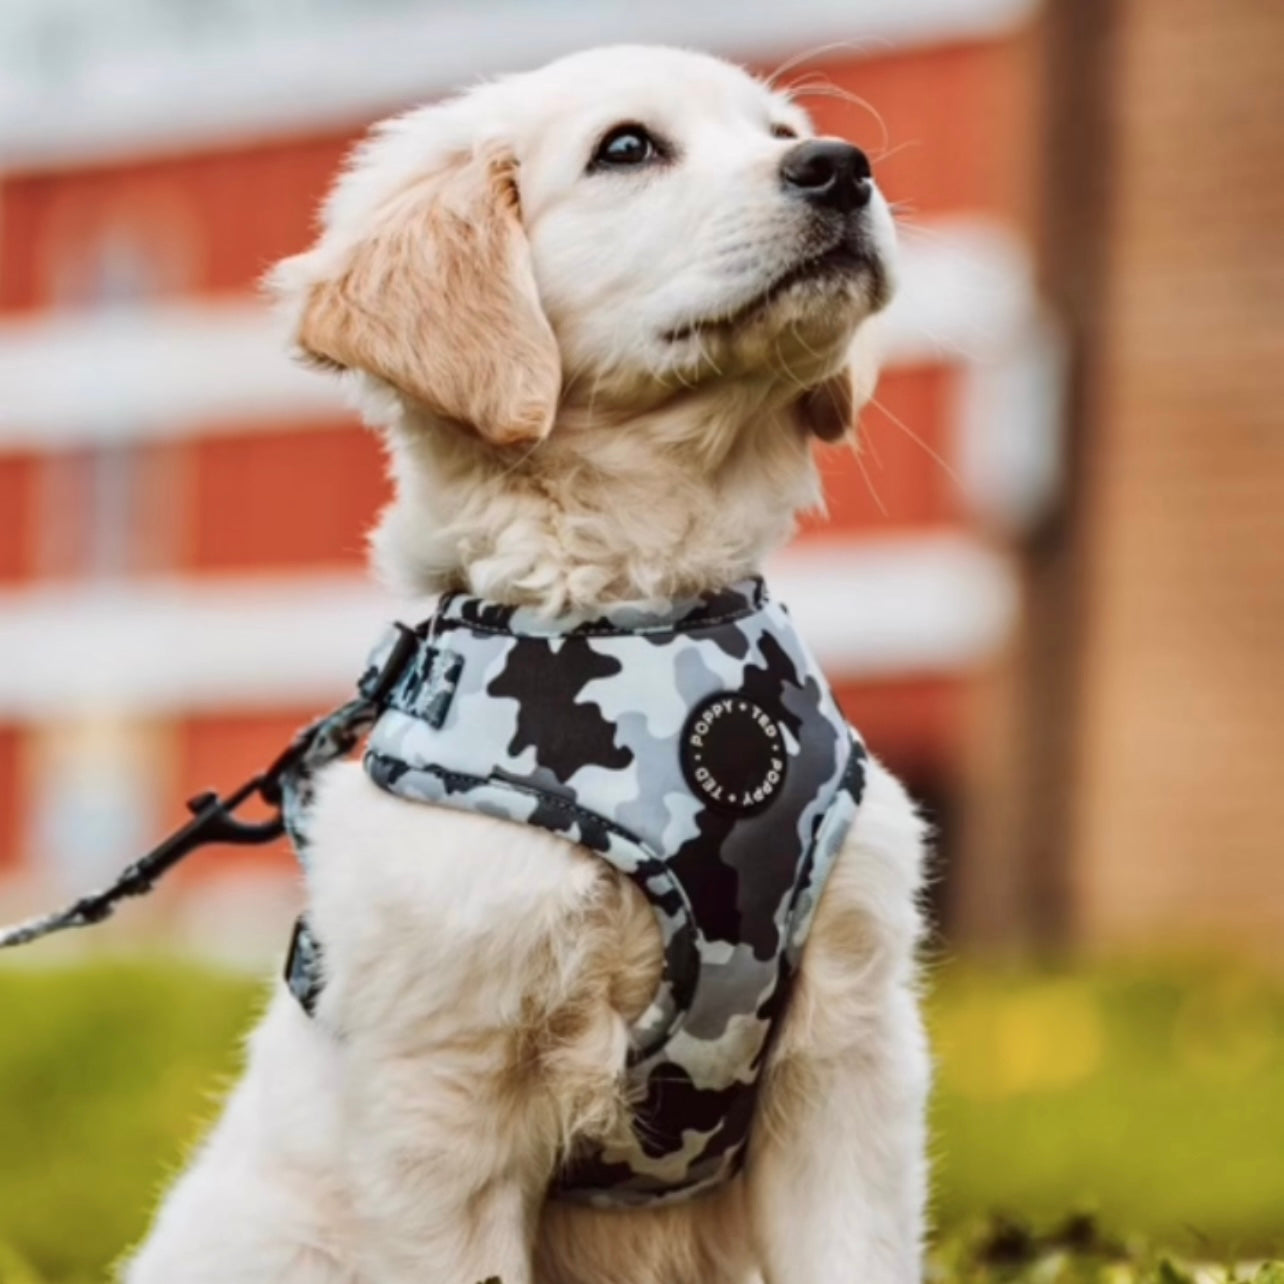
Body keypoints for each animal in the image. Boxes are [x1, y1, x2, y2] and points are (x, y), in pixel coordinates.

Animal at [130, 42, 929, 1284]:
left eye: (782, 130)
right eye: (627, 148)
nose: (841, 168)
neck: (643, 610)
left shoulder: (849, 1046)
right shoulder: (445, 1105)